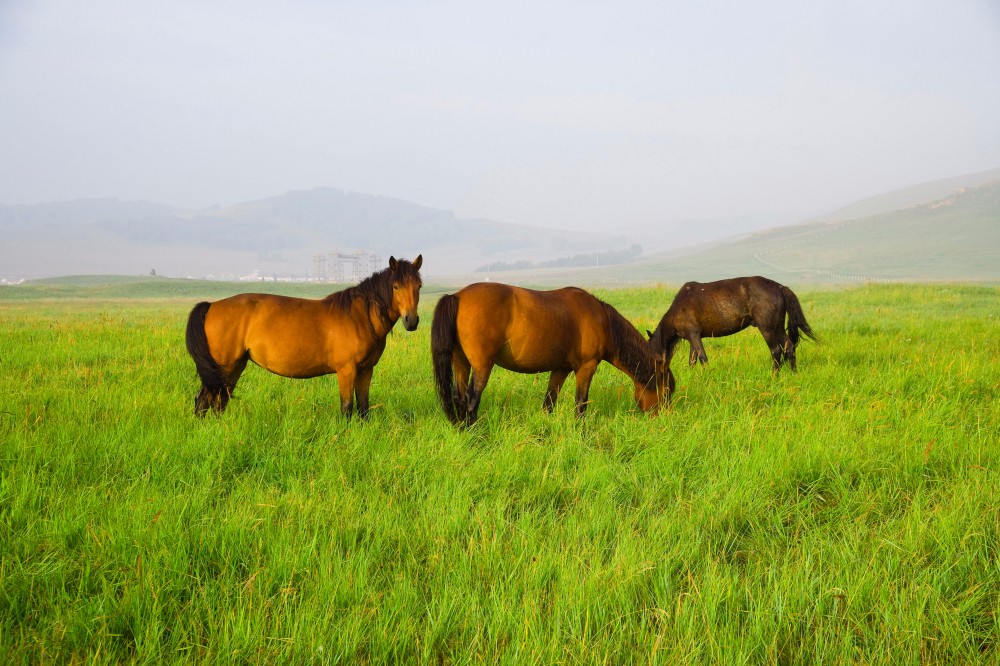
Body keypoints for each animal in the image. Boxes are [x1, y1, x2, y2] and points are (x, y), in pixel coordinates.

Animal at [185, 254, 422, 416]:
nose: (411, 321)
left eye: (419, 286)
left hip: (234, 366)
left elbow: (363, 407)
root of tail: (212, 306)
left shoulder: (366, 370)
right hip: (225, 366)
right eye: (396, 286)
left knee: (218, 400)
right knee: (205, 399)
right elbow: (347, 407)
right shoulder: (347, 370)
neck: (358, 317)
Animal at [430, 282, 672, 426]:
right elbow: (580, 404)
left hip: (461, 363)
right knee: (471, 401)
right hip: (482, 366)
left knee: (460, 399)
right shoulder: (587, 367)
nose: (664, 418)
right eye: (667, 389)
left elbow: (549, 403)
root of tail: (458, 296)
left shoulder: (560, 369)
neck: (601, 319)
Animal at [644, 272, 816, 370]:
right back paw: (793, 373)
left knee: (776, 350)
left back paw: (774, 375)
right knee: (789, 346)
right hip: (777, 327)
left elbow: (703, 358)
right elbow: (692, 360)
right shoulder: (692, 337)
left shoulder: (693, 335)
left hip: (767, 328)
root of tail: (780, 287)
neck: (678, 308)